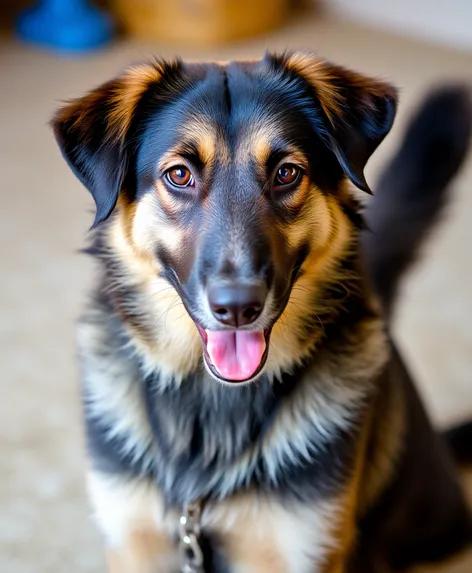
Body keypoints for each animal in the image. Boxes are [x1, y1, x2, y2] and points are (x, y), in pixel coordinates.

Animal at [51, 51, 472, 568]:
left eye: (286, 173)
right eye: (179, 175)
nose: (238, 307)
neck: (212, 404)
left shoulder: (307, 550)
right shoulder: (133, 545)